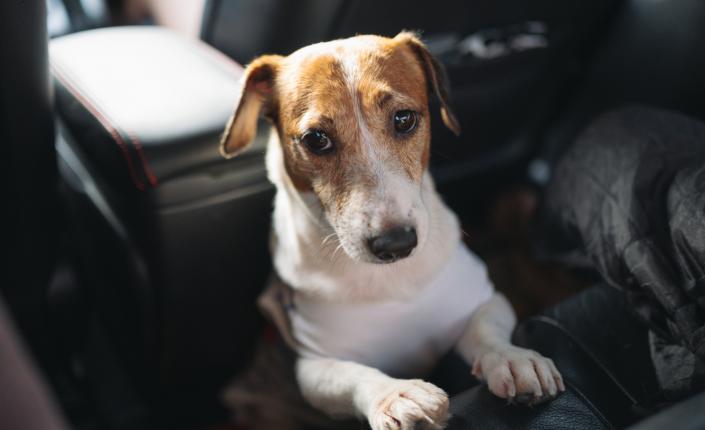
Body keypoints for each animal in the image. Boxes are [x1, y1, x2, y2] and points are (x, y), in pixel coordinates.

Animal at [219, 33, 560, 430]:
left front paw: (510, 358)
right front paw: (395, 395)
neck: (391, 283)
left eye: (404, 119)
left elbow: (487, 331)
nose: (396, 244)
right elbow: (354, 375)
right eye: (316, 139)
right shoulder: (314, 365)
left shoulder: (482, 300)